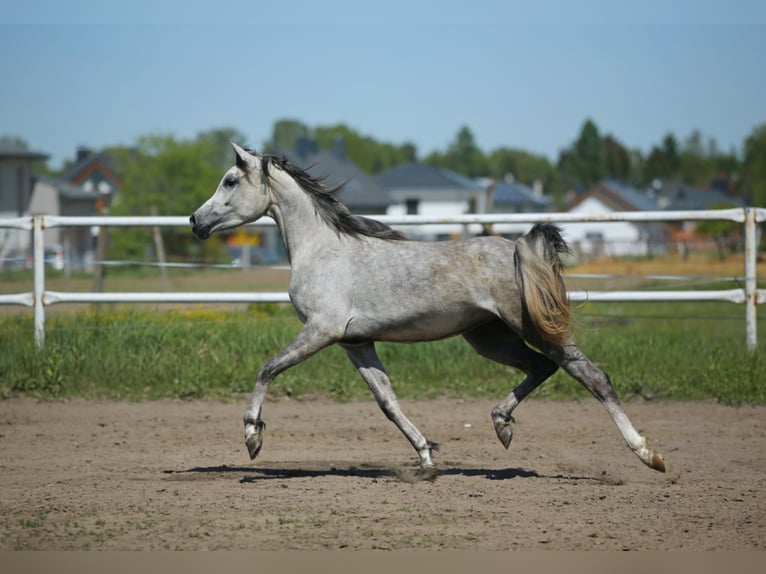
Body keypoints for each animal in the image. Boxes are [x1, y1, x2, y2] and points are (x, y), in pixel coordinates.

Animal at [188, 143, 664, 476]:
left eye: (230, 180)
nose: (195, 221)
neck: (323, 249)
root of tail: (517, 248)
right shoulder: (356, 342)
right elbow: (387, 401)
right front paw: (426, 457)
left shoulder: (322, 331)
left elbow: (267, 369)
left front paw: (252, 438)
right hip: (487, 337)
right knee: (541, 368)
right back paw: (501, 424)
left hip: (531, 328)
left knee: (592, 376)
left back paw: (648, 454)